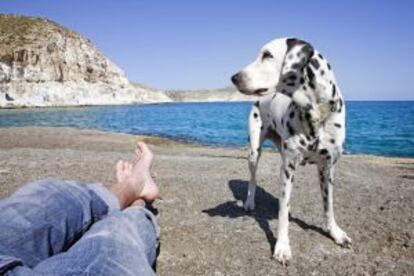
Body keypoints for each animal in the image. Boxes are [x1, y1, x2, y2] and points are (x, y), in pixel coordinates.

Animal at [231, 37, 350, 264]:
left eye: (267, 55)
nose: (234, 78)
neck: (316, 113)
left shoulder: (328, 168)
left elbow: (328, 205)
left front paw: (335, 232)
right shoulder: (287, 167)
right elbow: (282, 215)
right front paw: (282, 247)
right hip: (254, 152)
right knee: (253, 179)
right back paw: (250, 201)